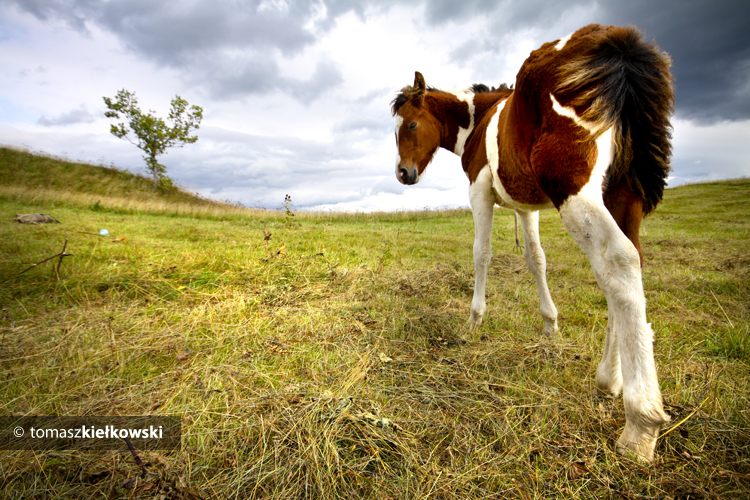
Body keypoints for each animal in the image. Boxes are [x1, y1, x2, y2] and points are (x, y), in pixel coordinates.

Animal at [394, 23, 676, 460]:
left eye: (409, 125)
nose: (403, 174)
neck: (481, 120)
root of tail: (616, 43)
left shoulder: (480, 191)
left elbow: (482, 253)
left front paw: (474, 321)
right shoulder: (527, 208)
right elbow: (536, 259)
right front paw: (550, 327)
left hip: (574, 189)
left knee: (617, 261)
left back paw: (640, 422)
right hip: (622, 194)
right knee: (628, 270)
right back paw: (609, 379)